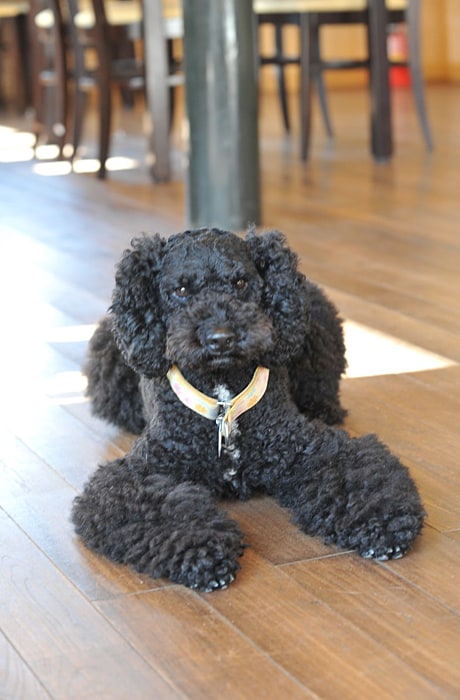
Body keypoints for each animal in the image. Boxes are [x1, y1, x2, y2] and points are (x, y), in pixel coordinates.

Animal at [71, 228, 424, 592]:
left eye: (241, 282)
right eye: (181, 290)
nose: (220, 338)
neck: (224, 398)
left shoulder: (308, 447)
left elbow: (357, 475)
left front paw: (384, 521)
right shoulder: (139, 473)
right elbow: (159, 509)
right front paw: (204, 551)